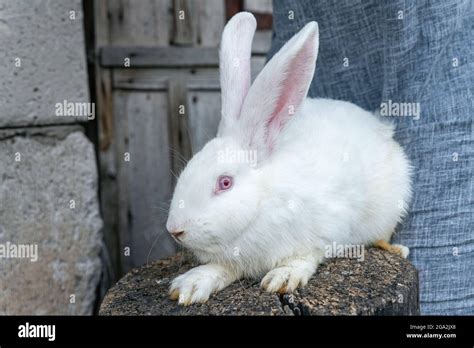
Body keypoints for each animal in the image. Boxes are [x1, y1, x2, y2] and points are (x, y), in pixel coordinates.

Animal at [165, 11, 410, 304]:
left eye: (225, 183)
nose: (174, 229)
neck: (263, 200)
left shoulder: (326, 230)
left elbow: (306, 257)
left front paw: (283, 277)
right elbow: (220, 268)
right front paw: (190, 285)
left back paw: (396, 248)